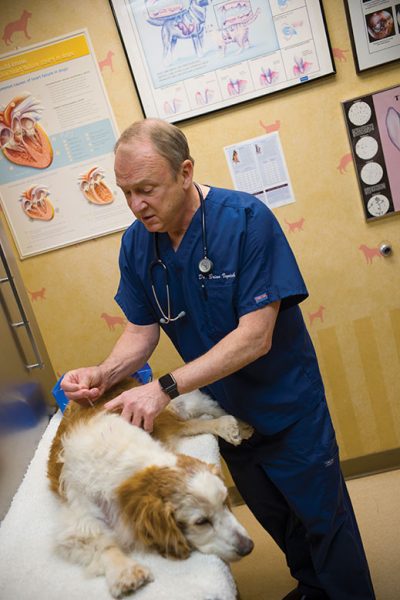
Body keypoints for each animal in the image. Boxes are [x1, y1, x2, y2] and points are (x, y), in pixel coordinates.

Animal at [47, 382, 253, 596]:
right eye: (201, 522)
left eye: (225, 503)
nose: (248, 547)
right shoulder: (79, 516)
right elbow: (101, 544)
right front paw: (125, 572)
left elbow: (196, 422)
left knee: (205, 412)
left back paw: (233, 425)